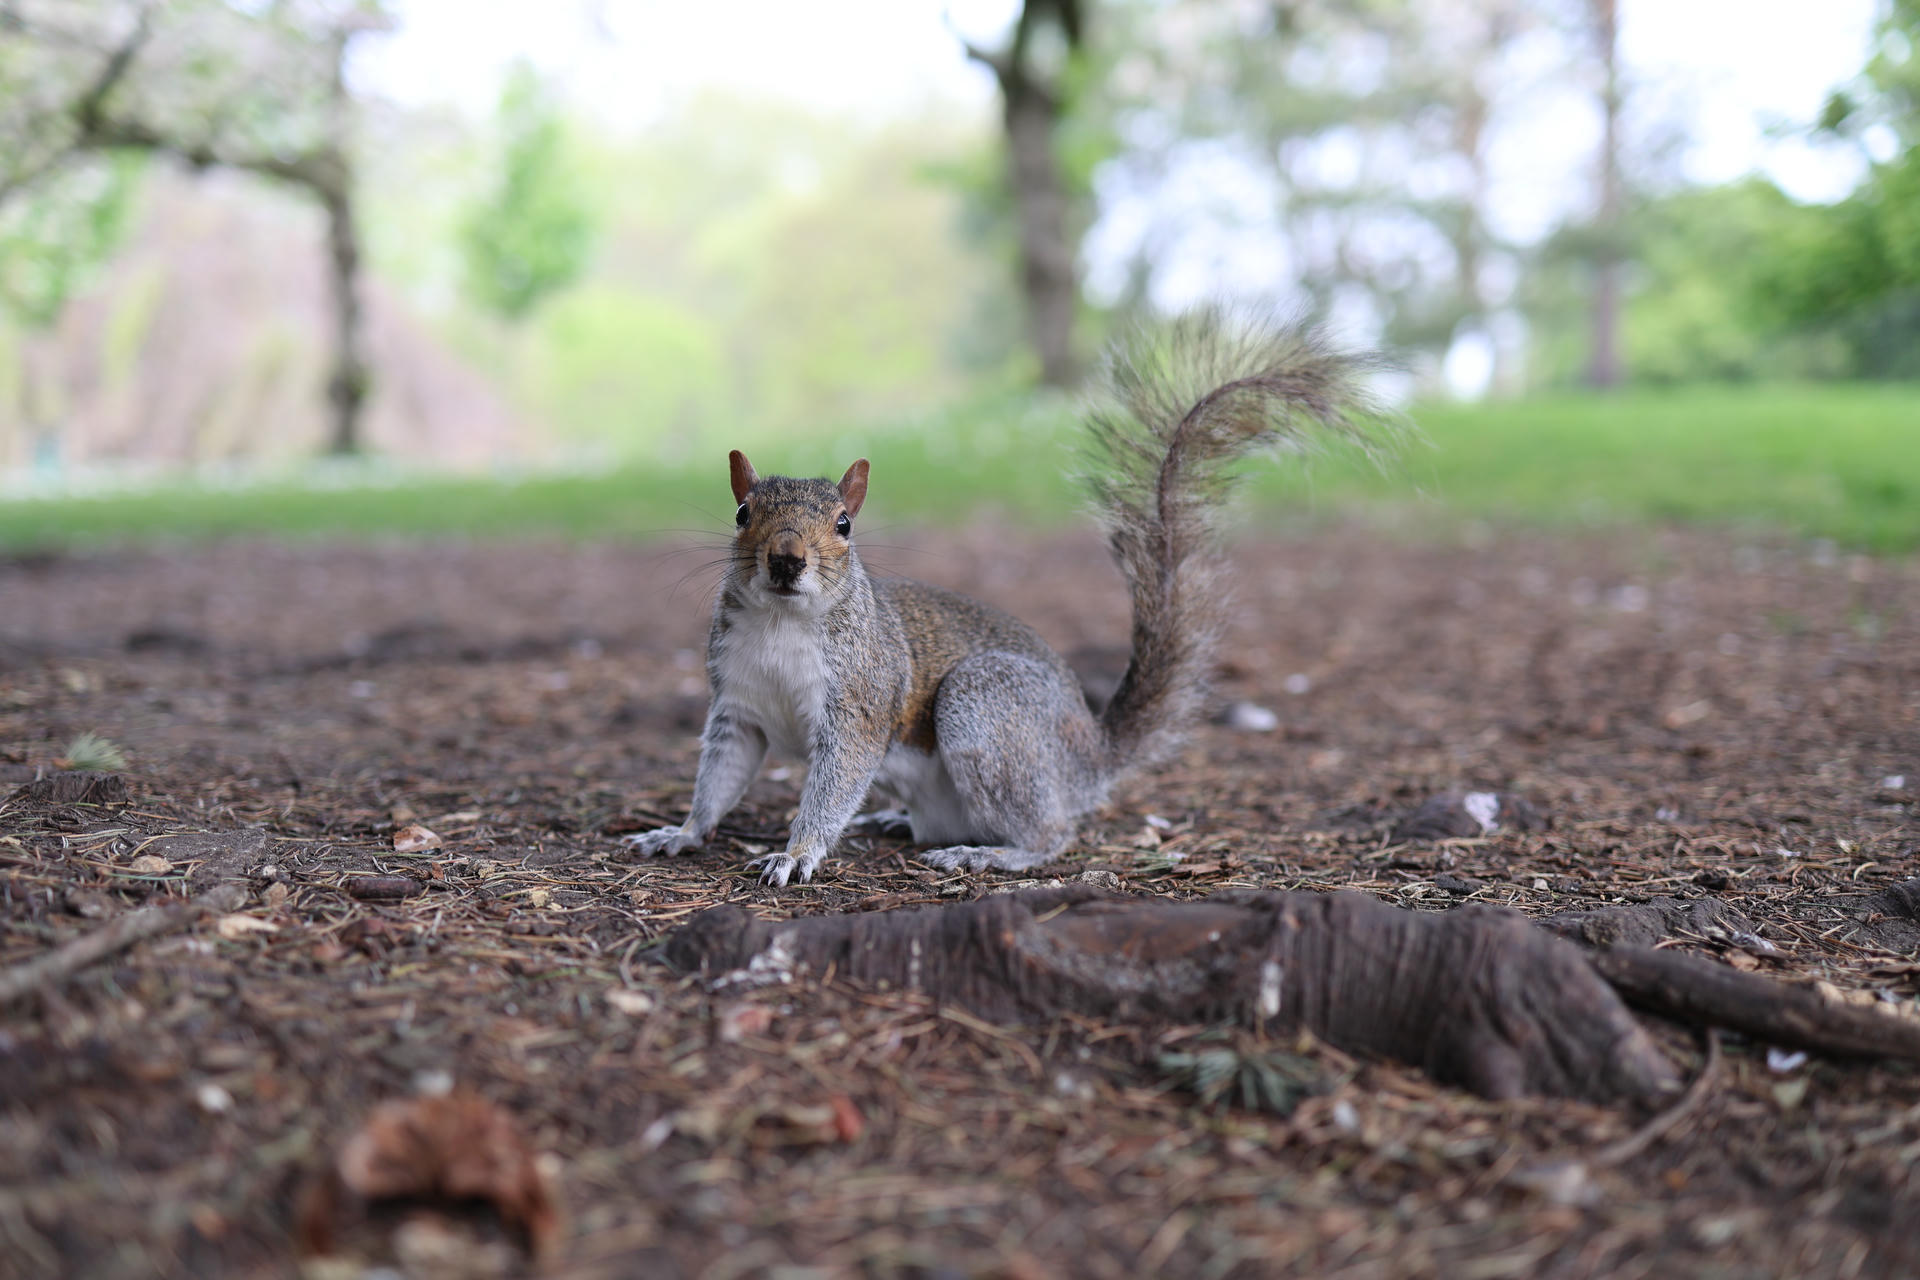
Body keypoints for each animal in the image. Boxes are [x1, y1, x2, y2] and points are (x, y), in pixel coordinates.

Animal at [623, 308, 1391, 886]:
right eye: (742, 513)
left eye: (843, 524)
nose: (786, 559)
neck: (785, 623)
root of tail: (1088, 759)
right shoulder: (738, 706)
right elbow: (719, 778)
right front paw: (680, 833)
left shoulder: (861, 703)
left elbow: (834, 781)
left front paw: (796, 854)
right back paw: (898, 820)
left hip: (986, 705)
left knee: (1052, 831)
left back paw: (993, 851)